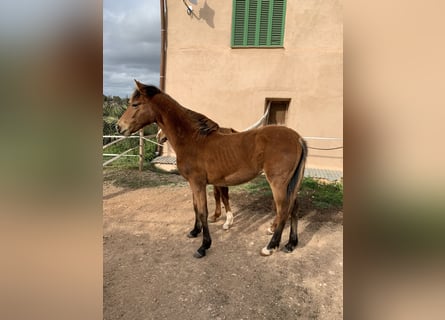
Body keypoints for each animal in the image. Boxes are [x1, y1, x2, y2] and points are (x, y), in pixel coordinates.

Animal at [116, 80, 306, 258]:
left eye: (135, 104)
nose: (119, 127)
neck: (192, 140)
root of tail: (297, 138)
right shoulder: (194, 184)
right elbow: (196, 207)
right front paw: (194, 232)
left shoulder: (198, 183)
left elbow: (203, 211)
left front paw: (203, 246)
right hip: (290, 183)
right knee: (294, 208)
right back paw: (290, 244)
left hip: (278, 183)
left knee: (283, 210)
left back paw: (270, 247)